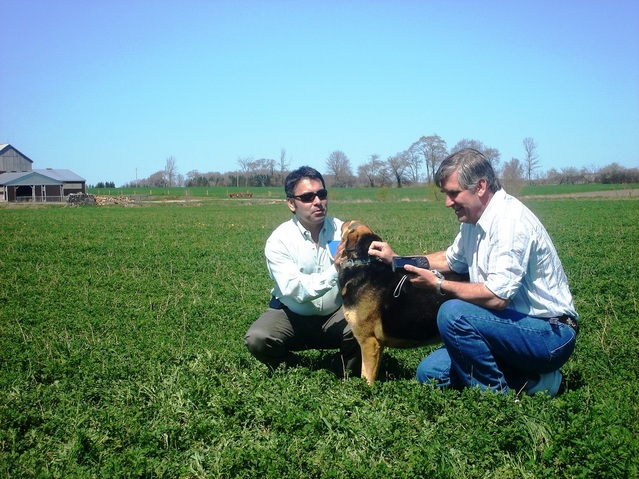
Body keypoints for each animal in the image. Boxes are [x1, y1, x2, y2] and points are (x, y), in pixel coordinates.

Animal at [338, 221, 468, 386]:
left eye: (350, 224)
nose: (343, 222)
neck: (363, 262)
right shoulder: (378, 345)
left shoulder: (369, 341)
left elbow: (366, 376)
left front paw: (365, 389)